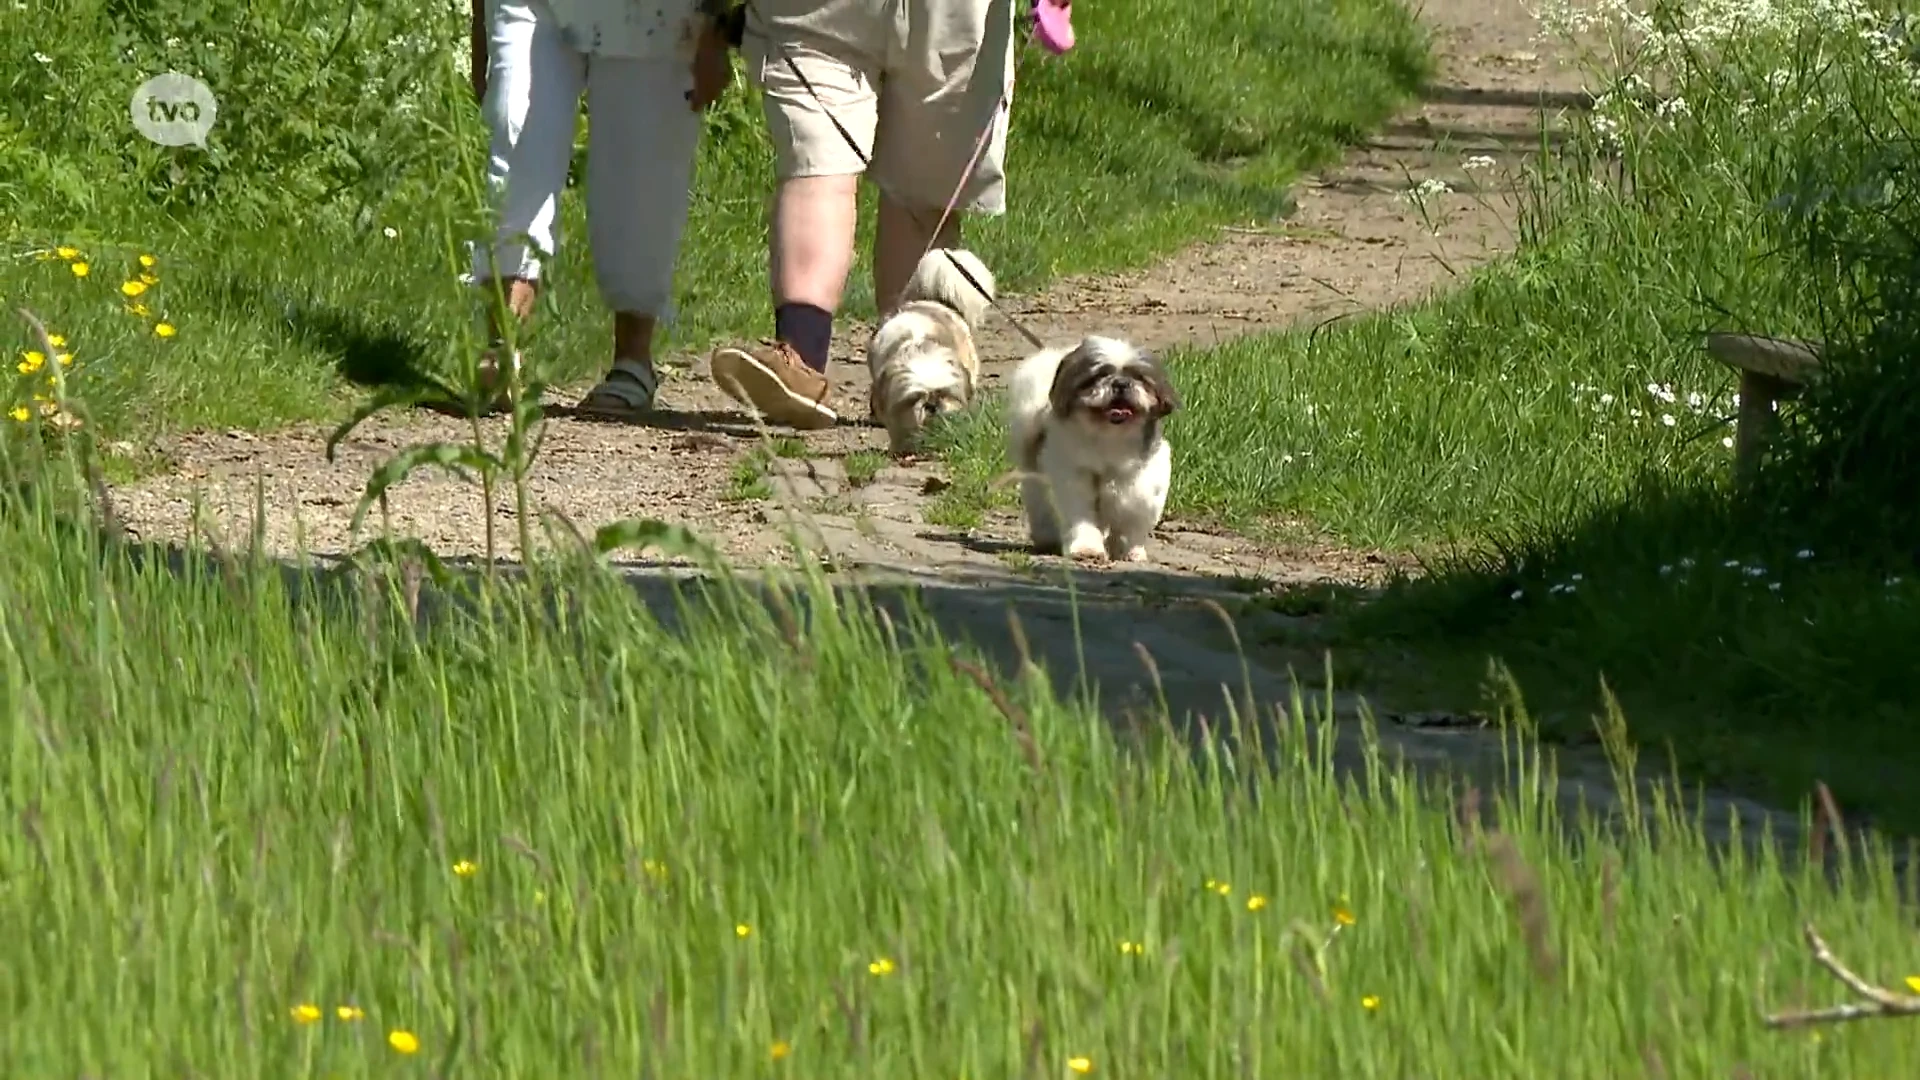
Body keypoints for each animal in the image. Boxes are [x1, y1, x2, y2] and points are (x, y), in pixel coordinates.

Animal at [998, 332, 1175, 557]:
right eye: (1098, 376)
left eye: (1138, 377)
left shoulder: (1145, 473)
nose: (1120, 383)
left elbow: (1133, 504)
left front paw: (1128, 547)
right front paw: (1087, 549)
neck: (1109, 437)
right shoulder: (1074, 475)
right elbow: (1081, 516)